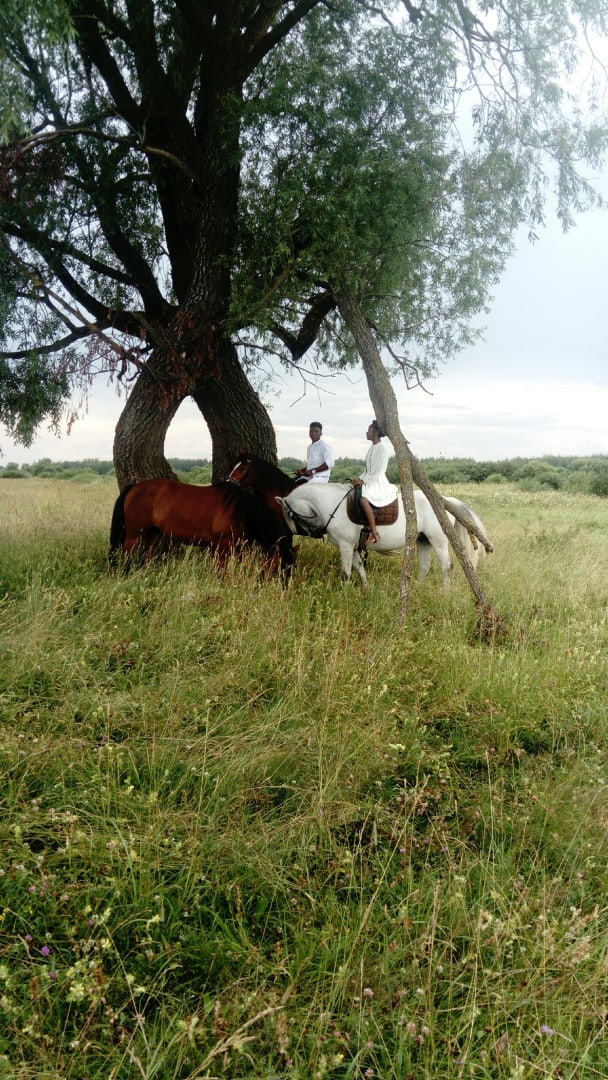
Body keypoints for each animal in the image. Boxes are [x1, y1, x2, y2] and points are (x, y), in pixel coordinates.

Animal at [108, 477, 294, 576]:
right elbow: (221, 570)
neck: (240, 509)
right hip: (134, 535)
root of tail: (134, 488)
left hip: (152, 535)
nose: (284, 587)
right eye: (281, 565)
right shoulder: (223, 546)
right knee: (125, 555)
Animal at [226, 455, 491, 585]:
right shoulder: (353, 546)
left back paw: (444, 593)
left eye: (242, 469)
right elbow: (359, 569)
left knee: (447, 566)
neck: (330, 503)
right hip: (422, 540)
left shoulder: (345, 545)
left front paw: (343, 593)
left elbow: (346, 572)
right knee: (425, 567)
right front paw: (364, 589)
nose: (229, 482)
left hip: (438, 540)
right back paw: (418, 589)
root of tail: (444, 500)